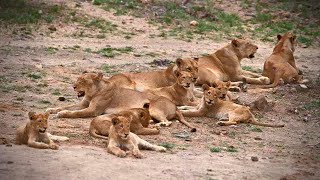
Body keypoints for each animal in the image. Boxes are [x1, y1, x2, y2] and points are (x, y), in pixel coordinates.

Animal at [44, 72, 195, 131]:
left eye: (83, 81)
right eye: (77, 79)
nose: (74, 86)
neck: (93, 93)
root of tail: (175, 106)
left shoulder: (93, 110)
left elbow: (75, 113)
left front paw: (62, 114)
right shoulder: (83, 104)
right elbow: (66, 106)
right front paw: (51, 110)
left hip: (154, 109)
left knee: (168, 122)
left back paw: (159, 124)